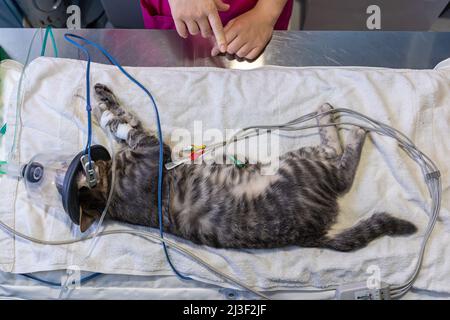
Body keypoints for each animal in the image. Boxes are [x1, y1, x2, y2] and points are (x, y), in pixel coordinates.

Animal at [72, 83, 416, 252]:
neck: (109, 194)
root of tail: (312, 235)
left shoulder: (146, 147)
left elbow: (117, 120)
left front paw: (96, 100)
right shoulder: (152, 148)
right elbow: (121, 122)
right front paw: (104, 107)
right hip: (299, 163)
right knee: (340, 167)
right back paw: (345, 125)